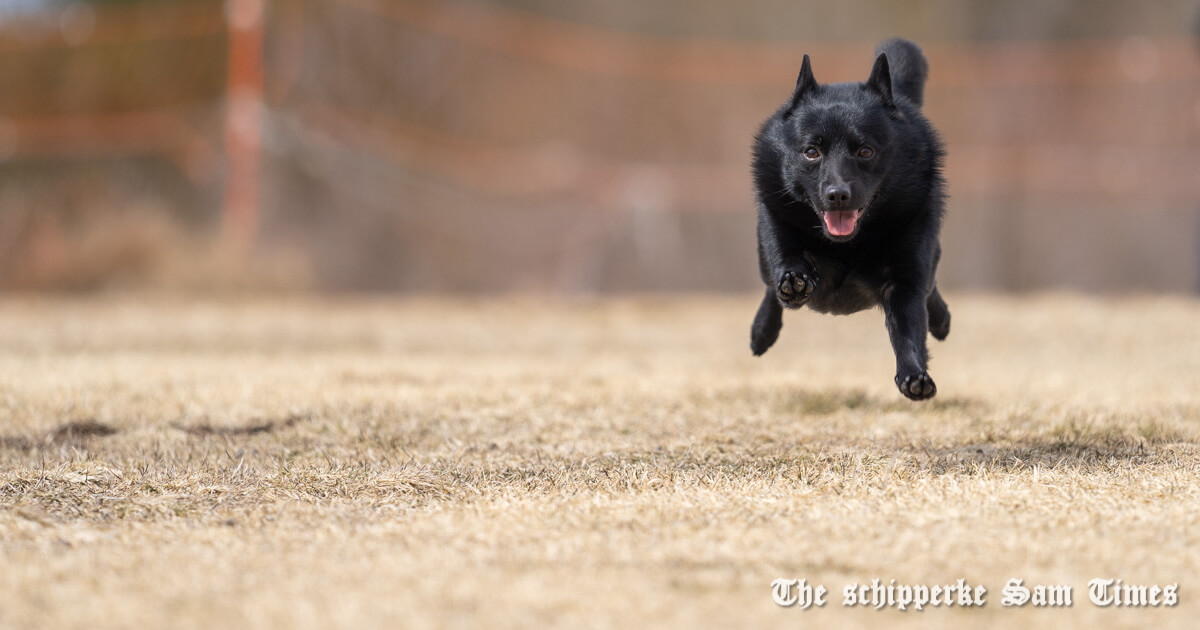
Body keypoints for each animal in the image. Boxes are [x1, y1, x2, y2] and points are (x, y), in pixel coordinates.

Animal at [744, 39, 950, 400]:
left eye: (865, 151)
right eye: (811, 152)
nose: (837, 195)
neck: (847, 247)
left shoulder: (906, 278)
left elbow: (910, 328)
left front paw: (914, 375)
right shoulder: (777, 231)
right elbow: (788, 265)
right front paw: (795, 281)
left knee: (931, 291)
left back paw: (941, 321)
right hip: (762, 259)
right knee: (770, 290)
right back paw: (761, 332)